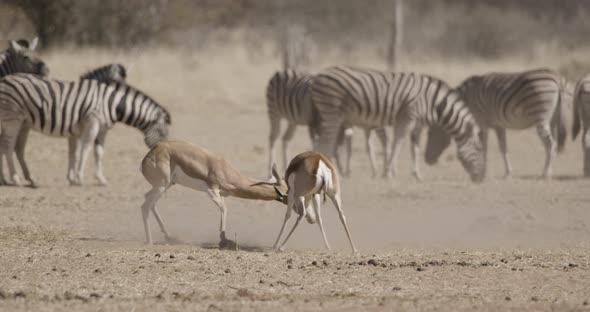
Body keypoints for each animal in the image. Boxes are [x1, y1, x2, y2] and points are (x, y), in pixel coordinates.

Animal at [0, 72, 171, 188]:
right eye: (163, 133)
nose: (164, 153)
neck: (112, 103)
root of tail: (4, 80)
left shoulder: (101, 129)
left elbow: (93, 152)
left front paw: (98, 179)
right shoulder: (92, 121)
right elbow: (86, 149)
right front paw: (79, 178)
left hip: (22, 122)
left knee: (16, 148)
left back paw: (12, 179)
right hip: (13, 118)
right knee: (8, 147)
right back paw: (15, 178)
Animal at [312, 66, 488, 183]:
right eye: (479, 149)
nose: (481, 179)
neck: (433, 102)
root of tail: (319, 75)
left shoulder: (418, 124)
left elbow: (414, 148)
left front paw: (417, 175)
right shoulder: (407, 117)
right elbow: (398, 143)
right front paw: (388, 173)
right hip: (332, 113)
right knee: (325, 144)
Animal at [424, 69, 568, 179]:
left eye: (432, 135)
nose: (427, 160)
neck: (466, 100)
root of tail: (557, 80)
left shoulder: (481, 124)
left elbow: (483, 146)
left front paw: (484, 171)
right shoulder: (499, 126)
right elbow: (503, 148)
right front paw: (508, 173)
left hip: (541, 117)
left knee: (550, 144)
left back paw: (545, 173)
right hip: (553, 120)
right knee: (554, 144)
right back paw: (550, 171)